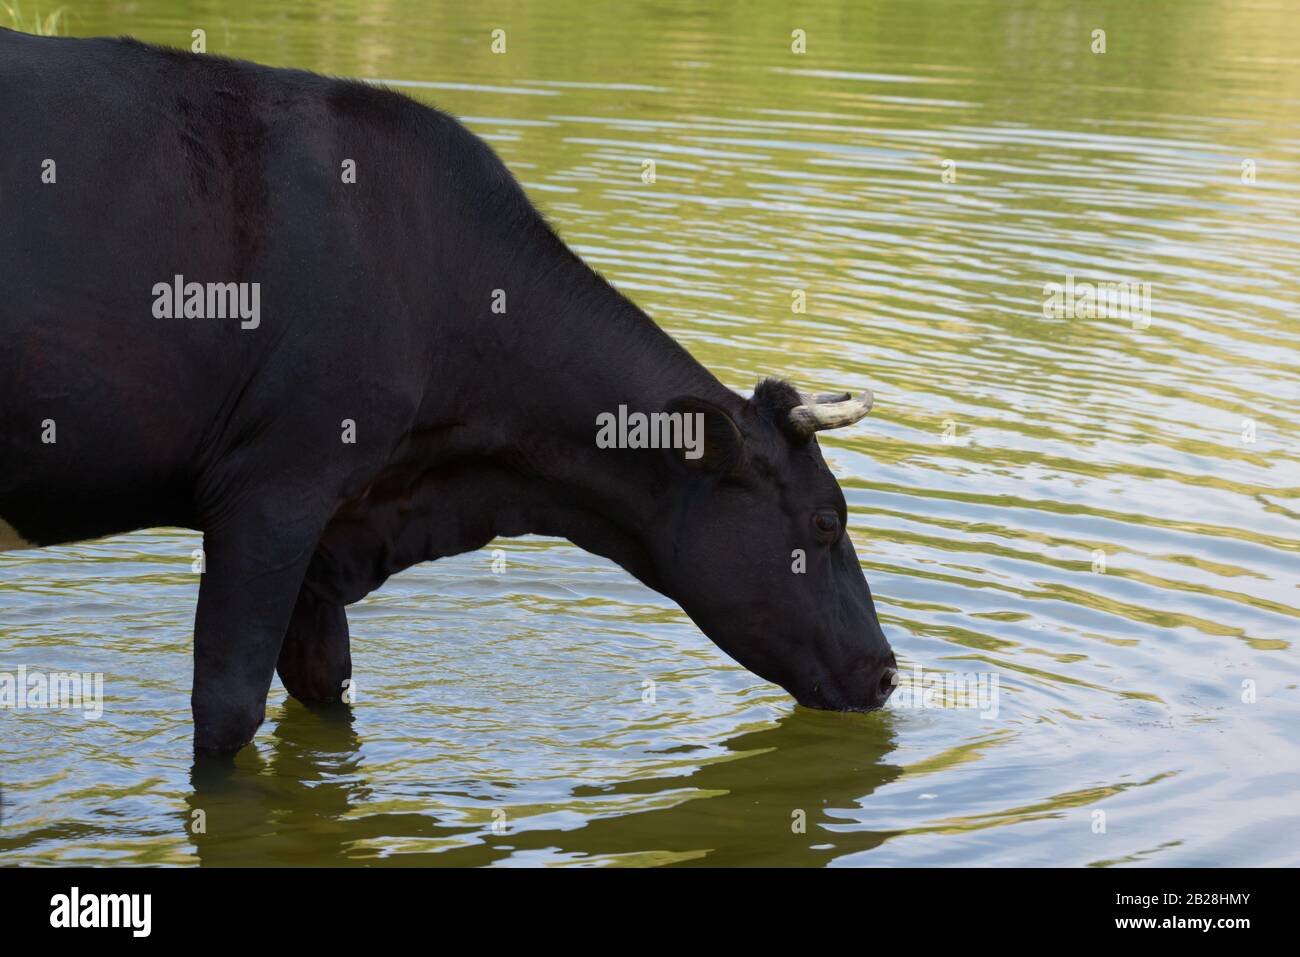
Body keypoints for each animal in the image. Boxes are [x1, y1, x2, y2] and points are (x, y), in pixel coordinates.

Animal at [0, 29, 894, 748]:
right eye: (825, 520)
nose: (887, 671)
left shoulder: (329, 532)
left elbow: (326, 682)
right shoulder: (274, 488)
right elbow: (227, 707)